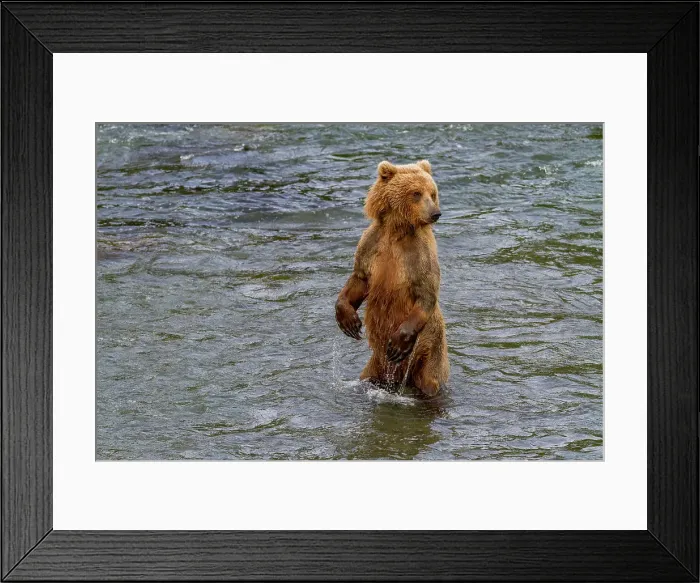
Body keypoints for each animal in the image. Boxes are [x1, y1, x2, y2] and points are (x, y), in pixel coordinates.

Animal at [335, 159, 449, 396]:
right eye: (416, 193)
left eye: (432, 193)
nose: (436, 213)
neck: (397, 230)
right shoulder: (372, 243)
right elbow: (360, 278)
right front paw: (348, 320)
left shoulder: (420, 254)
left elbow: (426, 291)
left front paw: (398, 343)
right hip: (376, 364)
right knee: (368, 376)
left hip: (431, 350)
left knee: (430, 381)